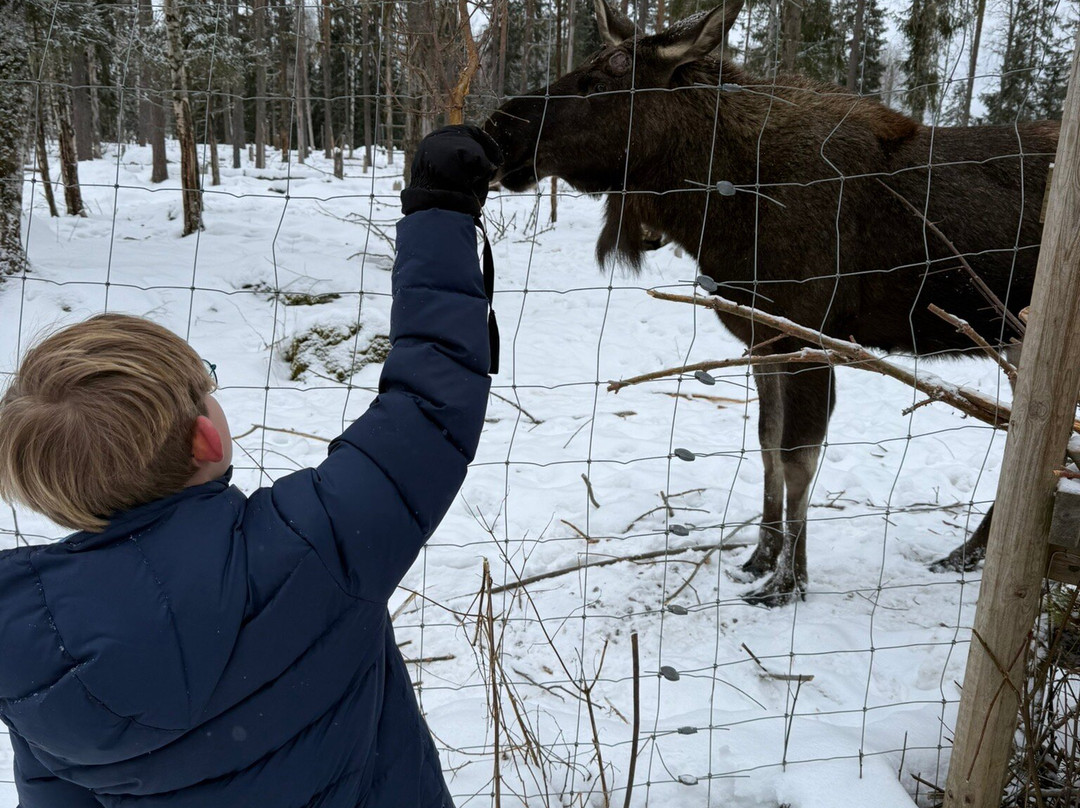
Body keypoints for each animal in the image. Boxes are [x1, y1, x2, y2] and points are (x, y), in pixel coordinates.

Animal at [484, 0, 1058, 605]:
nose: (498, 129)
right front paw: (760, 556)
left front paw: (789, 581)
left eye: (603, 79)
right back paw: (966, 552)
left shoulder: (810, 337)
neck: (718, 206)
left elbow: (797, 456)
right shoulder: (764, 341)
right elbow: (765, 443)